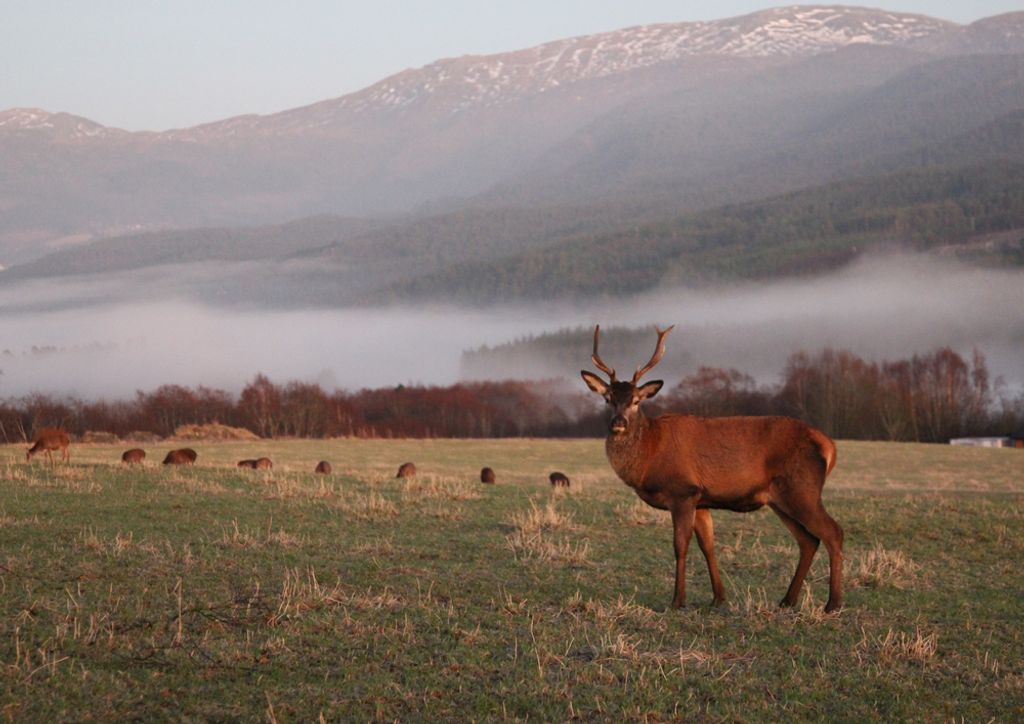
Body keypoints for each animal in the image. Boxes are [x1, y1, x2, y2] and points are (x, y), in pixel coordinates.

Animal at [581, 325, 844, 613]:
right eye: (607, 399)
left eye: (637, 400)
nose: (618, 422)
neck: (650, 454)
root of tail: (828, 445)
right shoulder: (701, 499)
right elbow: (708, 545)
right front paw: (718, 597)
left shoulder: (683, 491)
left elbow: (680, 546)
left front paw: (677, 600)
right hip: (780, 499)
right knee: (808, 540)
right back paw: (787, 600)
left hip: (803, 489)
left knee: (833, 533)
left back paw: (833, 603)